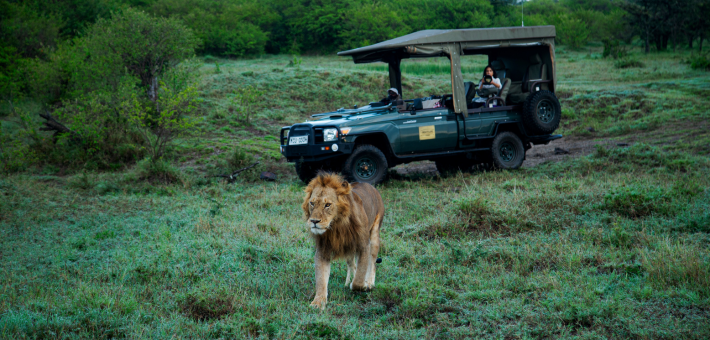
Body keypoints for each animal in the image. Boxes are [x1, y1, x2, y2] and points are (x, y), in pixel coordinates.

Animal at [304, 173, 386, 308]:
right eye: (312, 203)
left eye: (327, 205)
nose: (314, 221)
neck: (337, 226)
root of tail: (369, 185)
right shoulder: (323, 250)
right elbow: (321, 278)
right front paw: (318, 302)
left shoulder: (364, 246)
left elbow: (359, 277)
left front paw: (363, 286)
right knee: (352, 263)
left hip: (374, 234)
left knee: (373, 262)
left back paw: (369, 282)